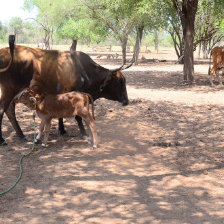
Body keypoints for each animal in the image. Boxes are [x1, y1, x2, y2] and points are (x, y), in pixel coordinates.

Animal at [0, 35, 131, 145]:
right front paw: (83, 133)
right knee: (3, 110)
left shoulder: (62, 93)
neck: (83, 69)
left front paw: (62, 130)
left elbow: (60, 113)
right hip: (8, 91)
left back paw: (21, 135)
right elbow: (77, 117)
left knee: (10, 111)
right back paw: (3, 140)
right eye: (120, 81)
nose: (127, 101)